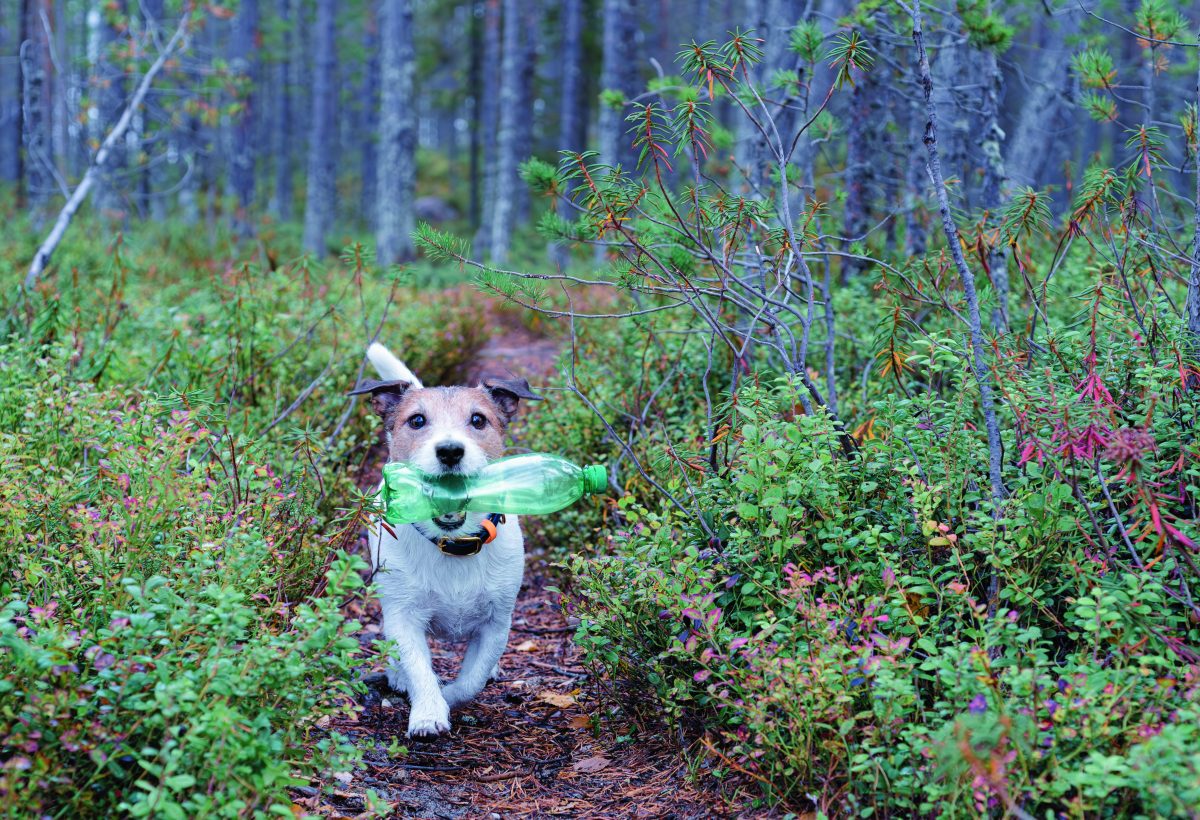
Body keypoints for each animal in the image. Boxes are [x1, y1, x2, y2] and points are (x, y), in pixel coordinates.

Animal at [350, 343, 542, 739]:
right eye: (417, 421)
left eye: (478, 420)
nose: (450, 450)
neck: (453, 542)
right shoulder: (404, 617)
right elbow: (418, 667)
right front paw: (428, 710)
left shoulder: (496, 623)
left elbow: (472, 679)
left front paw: (450, 695)